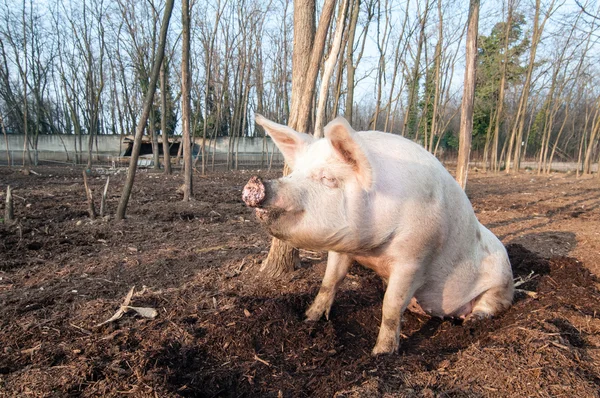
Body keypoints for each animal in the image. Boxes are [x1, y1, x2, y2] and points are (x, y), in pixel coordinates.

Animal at [241, 115, 512, 354]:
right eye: (293, 173)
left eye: (328, 178)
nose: (256, 183)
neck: (370, 250)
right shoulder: (341, 248)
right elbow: (330, 282)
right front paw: (308, 319)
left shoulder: (414, 258)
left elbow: (391, 305)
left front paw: (380, 354)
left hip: (502, 281)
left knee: (493, 303)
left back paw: (472, 321)